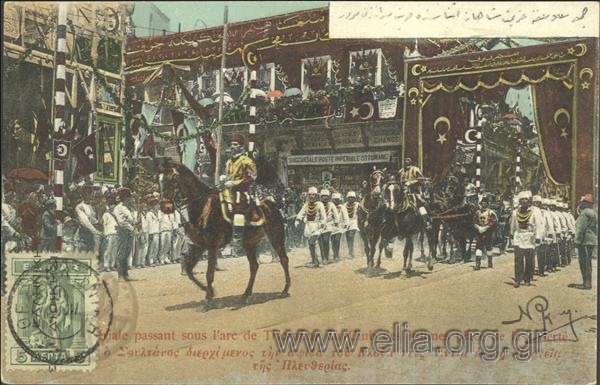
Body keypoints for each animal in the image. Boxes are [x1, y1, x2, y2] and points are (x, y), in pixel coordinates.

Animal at [159, 160, 290, 304]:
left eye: (172, 179)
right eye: (160, 180)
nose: (165, 207)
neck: (203, 205)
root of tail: (270, 204)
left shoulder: (212, 246)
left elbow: (209, 273)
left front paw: (209, 297)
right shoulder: (199, 246)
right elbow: (189, 271)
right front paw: (208, 291)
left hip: (276, 237)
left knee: (284, 259)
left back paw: (285, 289)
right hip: (249, 243)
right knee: (254, 266)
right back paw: (246, 294)